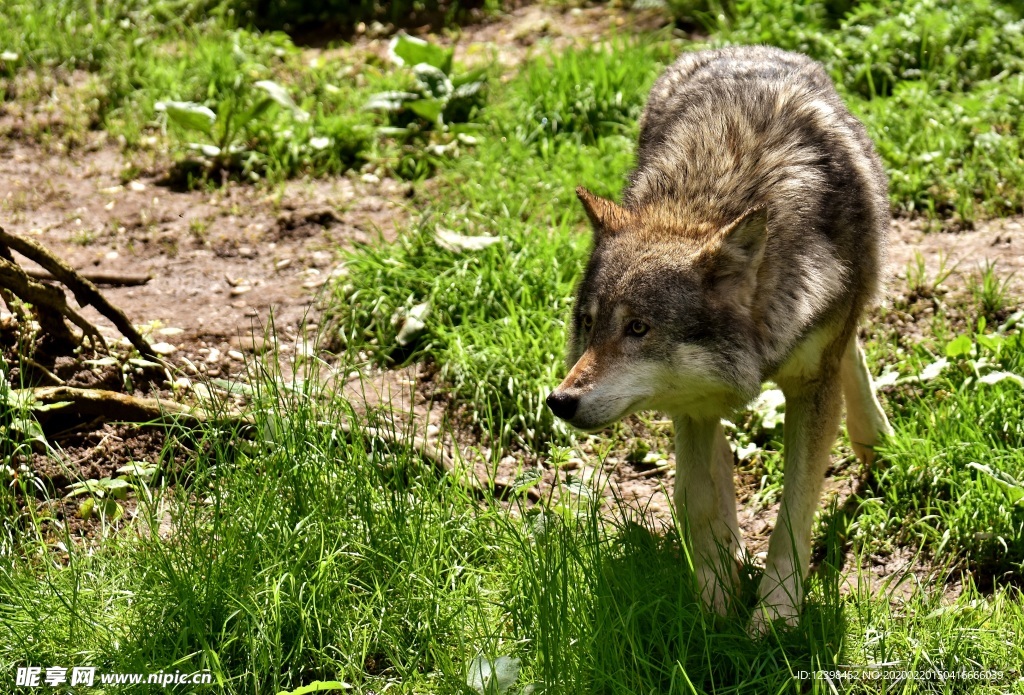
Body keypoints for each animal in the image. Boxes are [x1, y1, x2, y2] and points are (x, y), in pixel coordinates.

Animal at [548, 46, 892, 634]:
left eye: (638, 328)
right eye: (590, 324)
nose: (560, 401)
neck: (711, 197)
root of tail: (735, 46)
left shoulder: (811, 385)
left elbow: (795, 507)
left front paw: (775, 612)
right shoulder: (692, 401)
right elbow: (695, 498)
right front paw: (713, 599)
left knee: (850, 350)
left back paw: (875, 437)